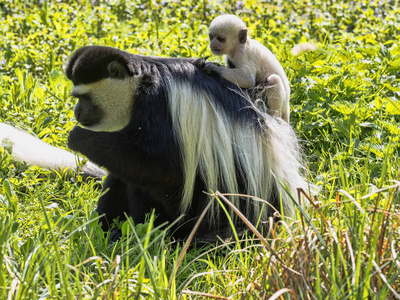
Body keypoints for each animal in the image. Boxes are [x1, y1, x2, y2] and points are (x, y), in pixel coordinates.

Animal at [65, 45, 304, 241]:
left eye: (84, 97)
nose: (77, 113)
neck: (141, 79)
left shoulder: (157, 101)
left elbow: (164, 169)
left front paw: (78, 137)